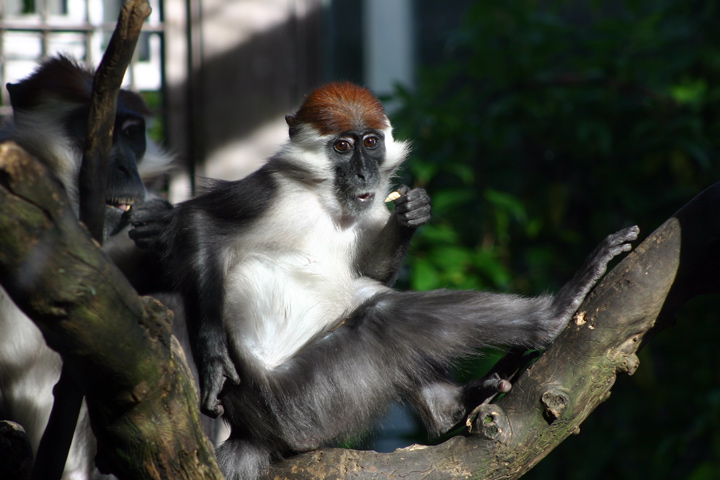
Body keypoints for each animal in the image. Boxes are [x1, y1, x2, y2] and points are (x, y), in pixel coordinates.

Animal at [128, 82, 636, 480]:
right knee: (385, 318)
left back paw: (451, 407)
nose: (363, 171)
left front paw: (412, 214)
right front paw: (214, 359)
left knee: (370, 296)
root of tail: (250, 431)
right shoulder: (270, 187)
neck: (323, 197)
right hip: (307, 403)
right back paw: (553, 315)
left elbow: (369, 272)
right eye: (342, 147)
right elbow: (198, 224)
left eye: (370, 142)